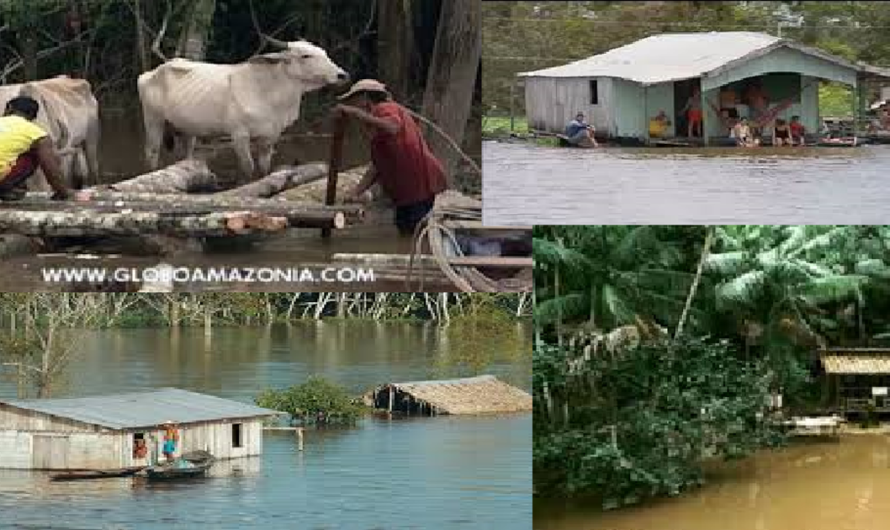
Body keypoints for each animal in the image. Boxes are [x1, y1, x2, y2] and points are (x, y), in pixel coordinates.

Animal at [138, 39, 346, 179]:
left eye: (324, 52)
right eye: (305, 55)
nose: (342, 75)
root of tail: (150, 73)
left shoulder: (271, 136)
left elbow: (264, 168)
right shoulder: (239, 135)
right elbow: (248, 168)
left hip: (187, 130)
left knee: (185, 156)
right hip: (153, 120)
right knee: (151, 153)